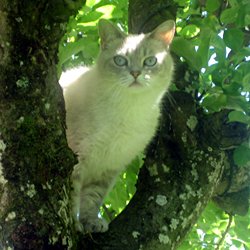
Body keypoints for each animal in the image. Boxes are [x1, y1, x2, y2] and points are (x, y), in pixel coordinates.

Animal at [59, 18, 175, 233]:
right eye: (120, 61)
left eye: (150, 61)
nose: (136, 73)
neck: (129, 109)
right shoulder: (77, 160)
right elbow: (72, 197)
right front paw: (74, 225)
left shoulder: (107, 168)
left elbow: (91, 200)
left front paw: (91, 223)